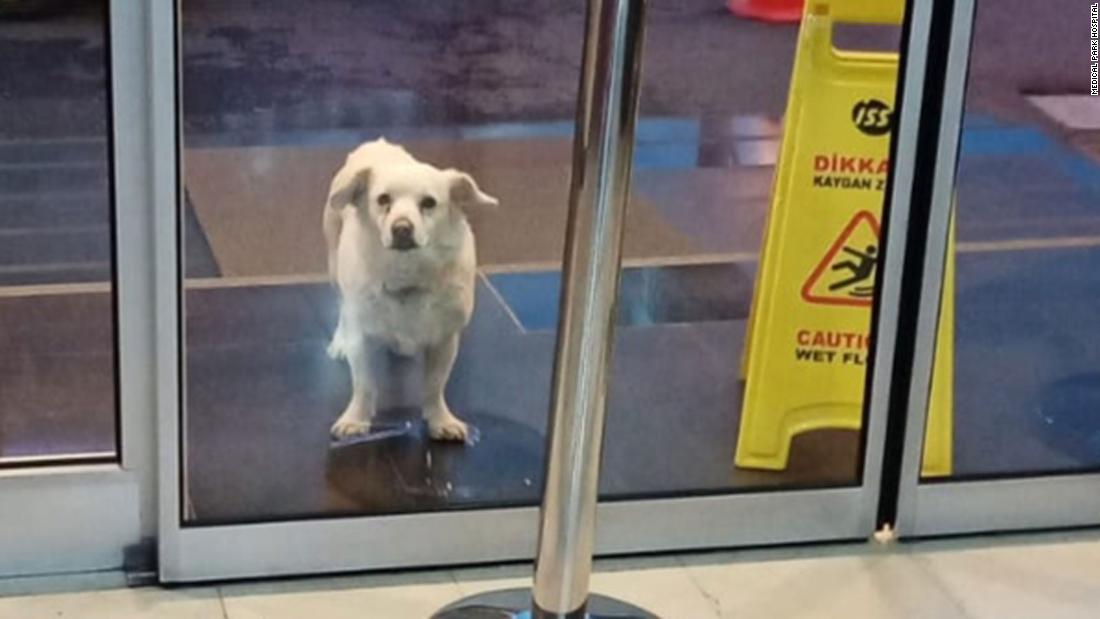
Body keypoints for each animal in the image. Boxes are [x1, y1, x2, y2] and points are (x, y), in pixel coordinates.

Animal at [321, 139, 499, 439]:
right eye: (383, 200)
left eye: (429, 203)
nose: (402, 228)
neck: (406, 273)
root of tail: (376, 144)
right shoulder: (363, 339)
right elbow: (364, 384)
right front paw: (355, 419)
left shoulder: (445, 340)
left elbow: (435, 385)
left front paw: (440, 420)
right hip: (335, 264)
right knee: (342, 306)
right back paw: (339, 341)